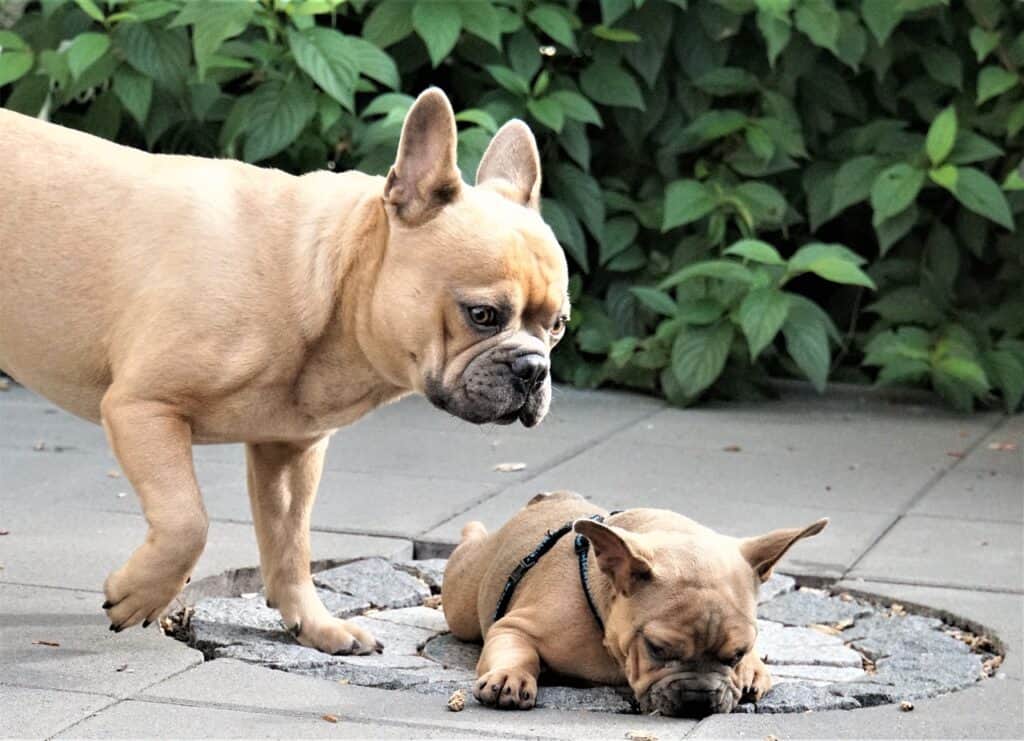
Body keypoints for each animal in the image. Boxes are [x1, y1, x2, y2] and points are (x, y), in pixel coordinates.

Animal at [0, 88, 569, 655]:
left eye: (558, 326)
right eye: (482, 315)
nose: (534, 369)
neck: (313, 277)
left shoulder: (291, 451)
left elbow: (290, 543)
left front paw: (315, 624)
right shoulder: (143, 406)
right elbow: (188, 521)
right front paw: (140, 593)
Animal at [444, 491, 827, 716]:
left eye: (736, 654)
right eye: (657, 649)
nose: (699, 698)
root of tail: (549, 498)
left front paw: (752, 669)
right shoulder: (515, 626)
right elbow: (518, 650)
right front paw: (511, 676)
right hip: (462, 599)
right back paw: (472, 530)